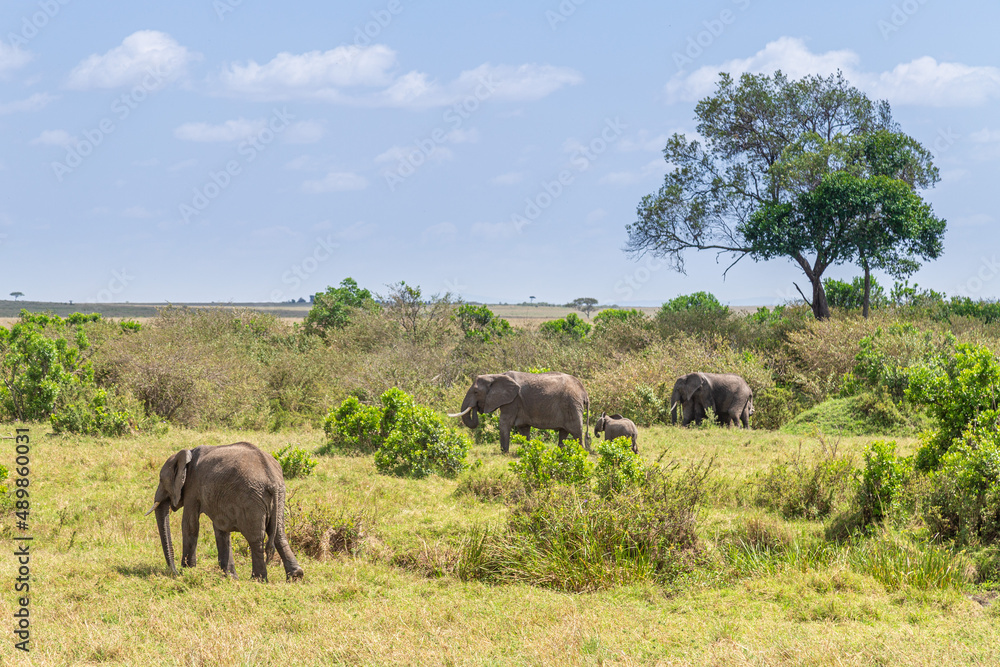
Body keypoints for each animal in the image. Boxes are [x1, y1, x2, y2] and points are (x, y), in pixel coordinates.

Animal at [144, 440, 300, 580]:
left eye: (161, 479)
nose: (174, 571)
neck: (186, 454)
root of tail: (272, 479)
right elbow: (220, 528)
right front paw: (230, 577)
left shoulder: (192, 487)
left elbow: (190, 525)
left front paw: (187, 570)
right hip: (279, 496)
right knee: (279, 534)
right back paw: (296, 576)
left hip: (252, 499)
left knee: (255, 538)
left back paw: (258, 579)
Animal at [450, 370, 588, 454]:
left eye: (476, 392)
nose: (476, 407)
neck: (496, 375)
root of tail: (583, 391)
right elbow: (523, 428)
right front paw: (528, 450)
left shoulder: (512, 401)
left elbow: (504, 423)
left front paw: (504, 453)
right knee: (563, 432)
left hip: (572, 405)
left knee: (576, 431)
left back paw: (580, 453)